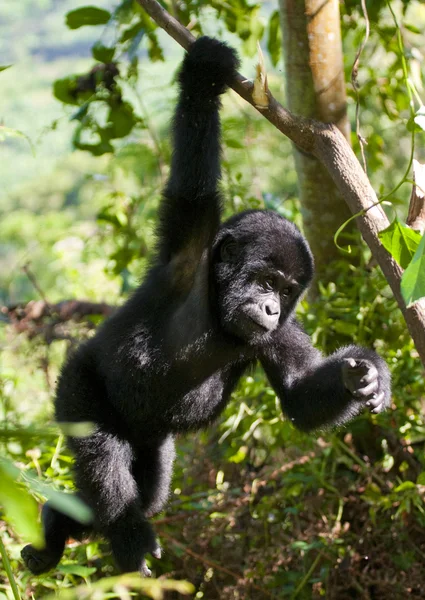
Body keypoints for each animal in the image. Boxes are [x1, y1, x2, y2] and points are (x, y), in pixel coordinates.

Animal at [20, 36, 390, 576]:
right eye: (265, 280)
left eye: (286, 291)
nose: (271, 308)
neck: (217, 308)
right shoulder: (189, 249)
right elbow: (192, 182)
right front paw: (204, 73)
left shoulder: (281, 335)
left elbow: (299, 395)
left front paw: (363, 377)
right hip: (77, 383)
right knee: (103, 458)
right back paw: (124, 538)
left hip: (151, 439)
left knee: (148, 489)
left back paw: (55, 527)